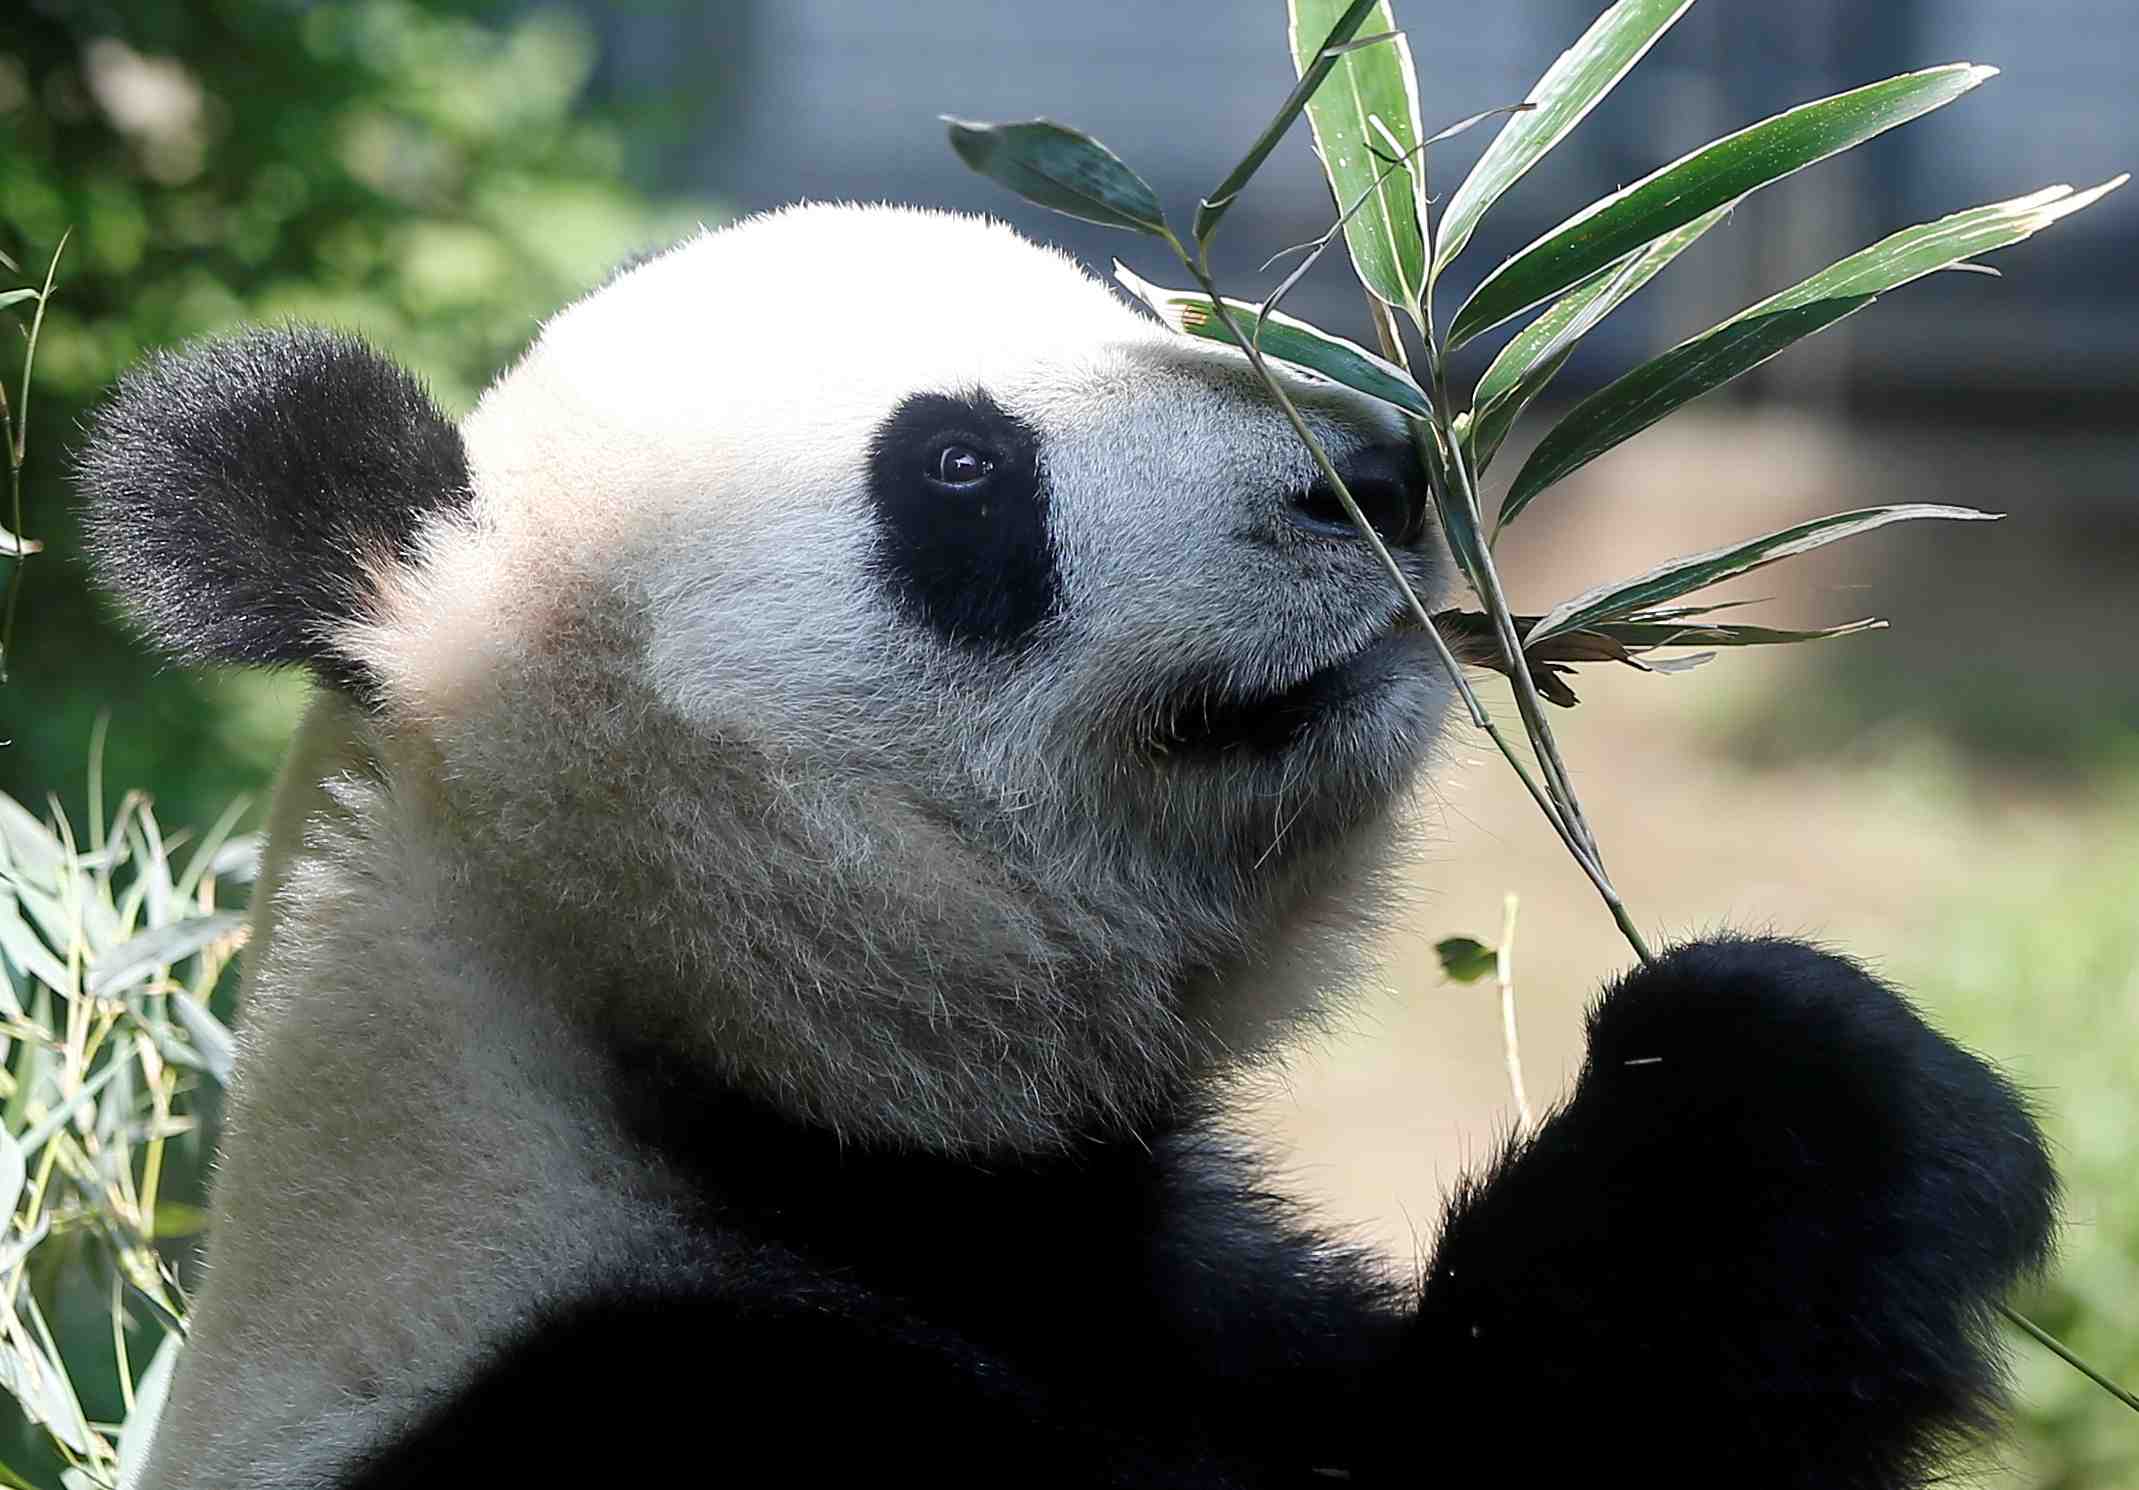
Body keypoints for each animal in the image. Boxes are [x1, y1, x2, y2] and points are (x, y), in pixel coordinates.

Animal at [79, 204, 2055, 1489]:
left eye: (1166, 313)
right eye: (959, 467)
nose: (1376, 472)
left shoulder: (1170, 1286)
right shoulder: (666, 1404)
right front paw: (1776, 1089)